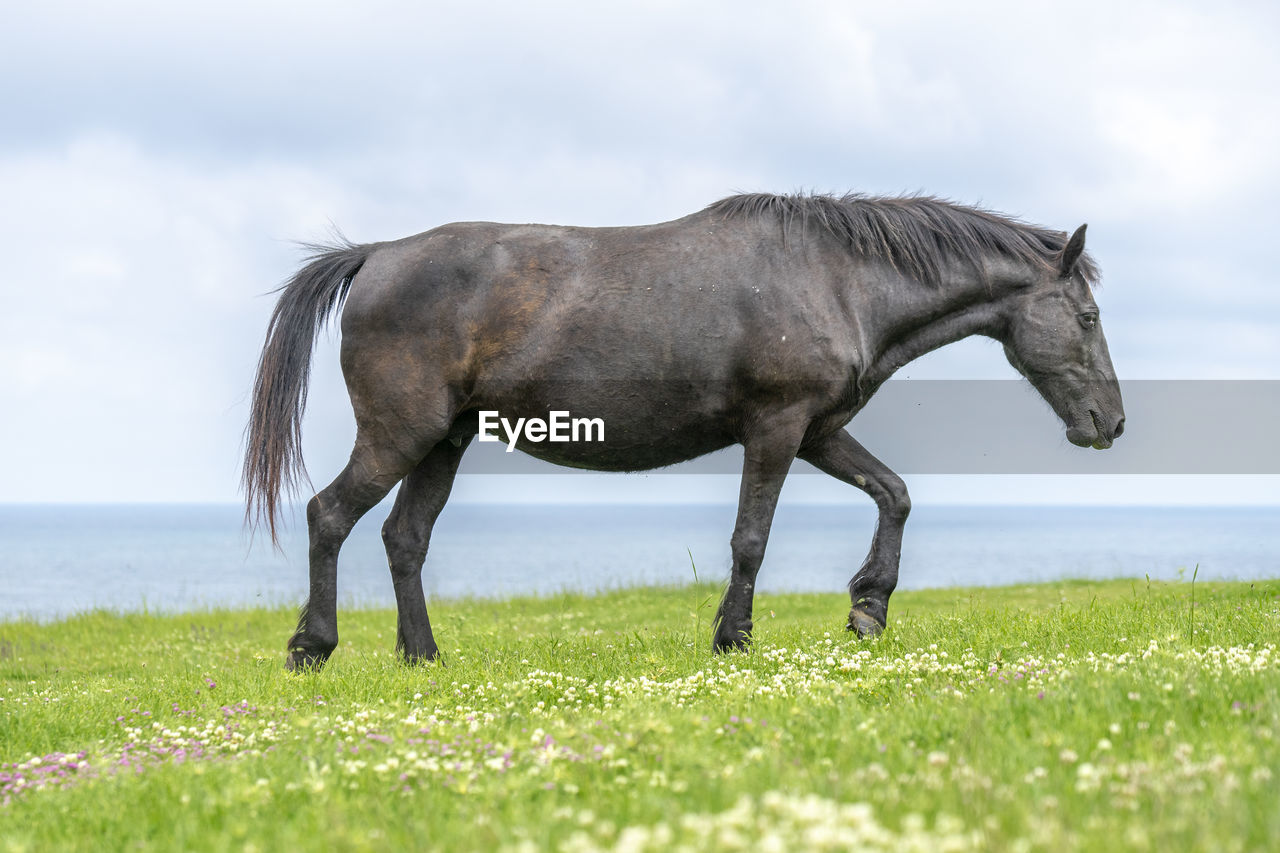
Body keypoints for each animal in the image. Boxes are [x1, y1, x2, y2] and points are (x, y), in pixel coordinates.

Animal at [240, 190, 1121, 666]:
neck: (835, 278)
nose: (1109, 421)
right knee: (330, 515)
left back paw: (421, 655)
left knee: (405, 538)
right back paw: (313, 645)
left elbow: (895, 493)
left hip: (444, 441)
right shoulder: (776, 427)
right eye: (1086, 315)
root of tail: (377, 254)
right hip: (401, 433)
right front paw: (733, 636)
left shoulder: (818, 430)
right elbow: (751, 539)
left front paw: (868, 606)